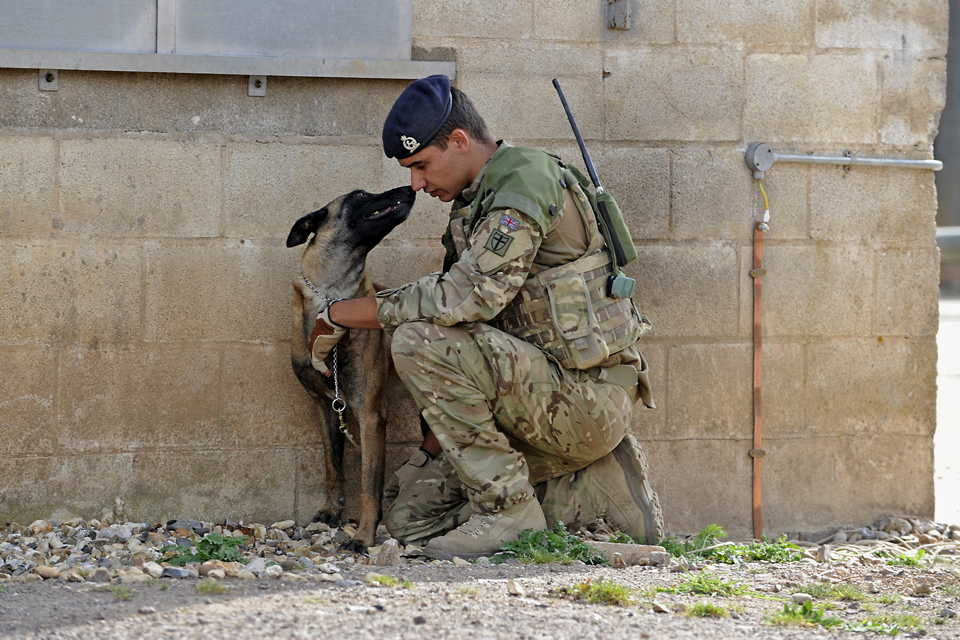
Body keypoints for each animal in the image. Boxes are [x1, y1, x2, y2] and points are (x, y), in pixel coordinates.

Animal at [286, 184, 418, 552]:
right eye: (359, 194)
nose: (409, 188)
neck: (332, 294)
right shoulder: (328, 407)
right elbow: (334, 467)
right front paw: (333, 511)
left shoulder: (371, 416)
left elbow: (369, 484)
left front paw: (364, 536)